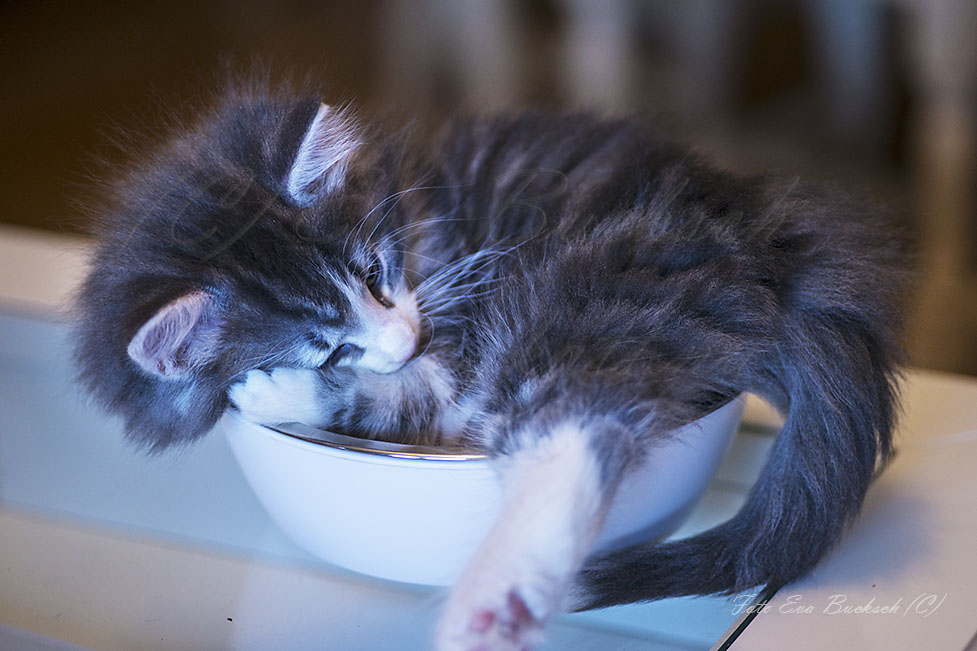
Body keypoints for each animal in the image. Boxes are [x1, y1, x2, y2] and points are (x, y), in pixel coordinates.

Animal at [74, 81, 908, 651]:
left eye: (374, 271)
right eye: (328, 343)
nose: (399, 339)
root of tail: (777, 241)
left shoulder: (454, 351)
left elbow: (398, 398)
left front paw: (277, 390)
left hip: (581, 300)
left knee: (575, 424)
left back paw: (492, 600)